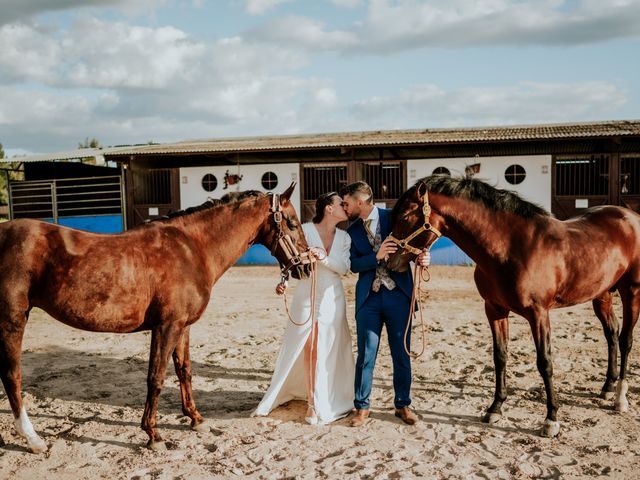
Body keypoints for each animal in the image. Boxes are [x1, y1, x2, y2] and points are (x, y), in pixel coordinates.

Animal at [0, 182, 310, 452]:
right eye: (293, 223)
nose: (306, 266)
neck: (191, 248)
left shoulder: (183, 327)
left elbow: (185, 371)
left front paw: (196, 419)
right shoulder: (166, 326)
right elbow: (156, 377)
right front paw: (153, 434)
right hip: (12, 321)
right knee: (12, 376)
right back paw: (33, 439)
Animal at [384, 177, 640, 438]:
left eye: (405, 216)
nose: (389, 262)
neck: (511, 248)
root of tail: (630, 216)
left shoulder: (539, 313)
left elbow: (545, 362)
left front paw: (551, 419)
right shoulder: (494, 310)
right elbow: (500, 356)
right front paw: (495, 408)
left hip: (631, 291)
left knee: (626, 339)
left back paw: (620, 397)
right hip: (602, 294)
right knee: (611, 333)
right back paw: (608, 386)